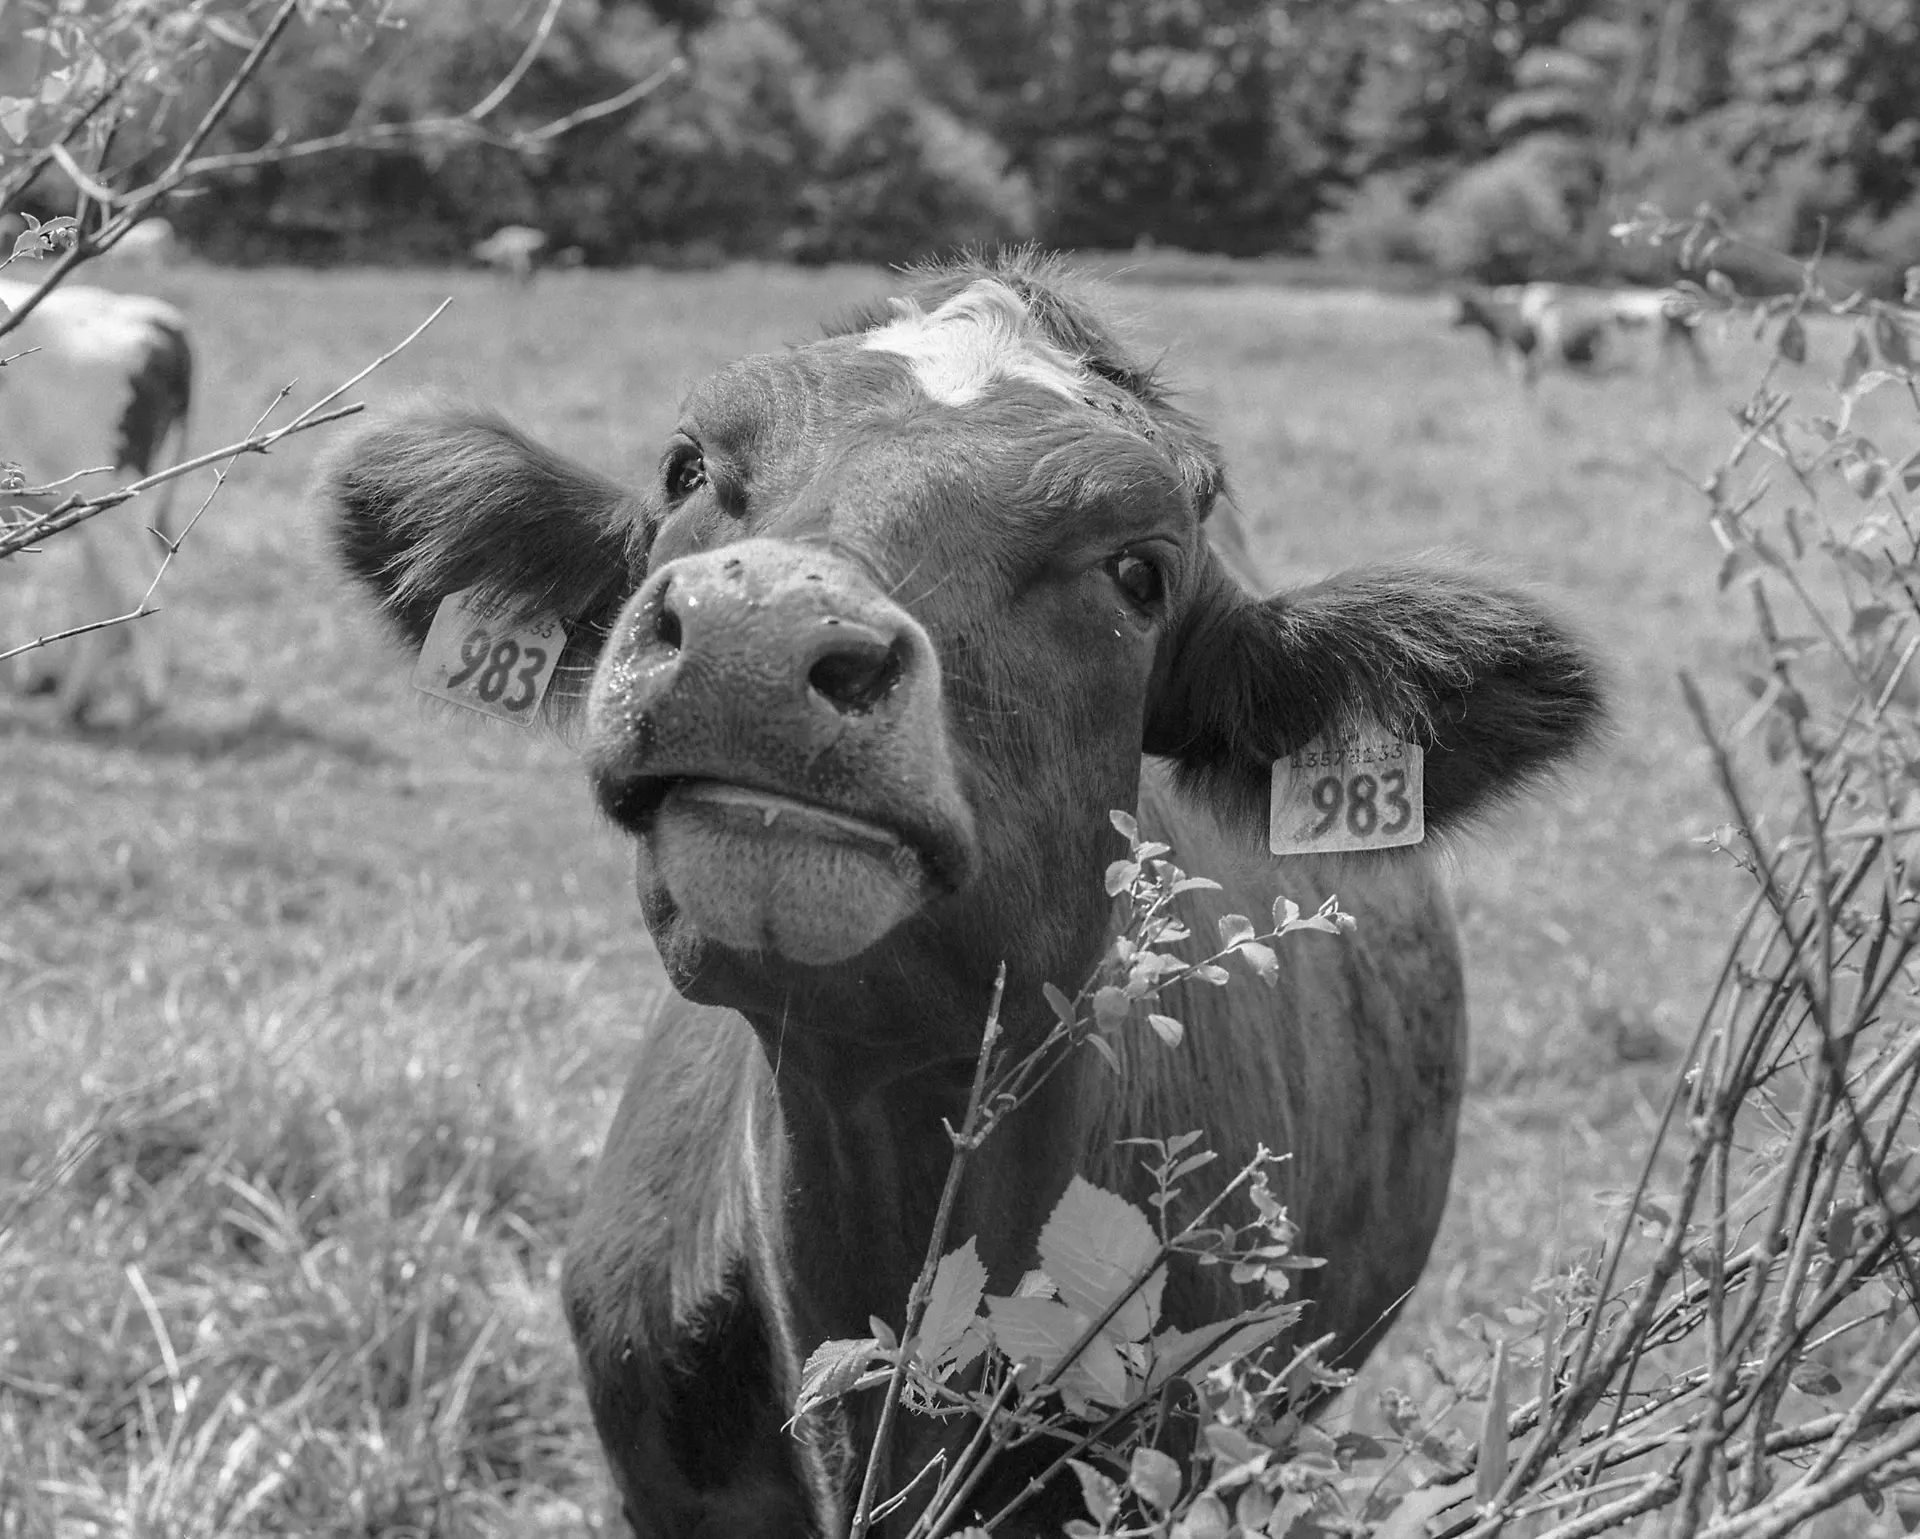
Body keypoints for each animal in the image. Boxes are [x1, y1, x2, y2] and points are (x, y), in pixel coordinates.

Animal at [1, 276, 192, 727]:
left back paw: (145, 707)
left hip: (111, 500)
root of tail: (150, 314)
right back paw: (75, 700)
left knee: (140, 586)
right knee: (107, 589)